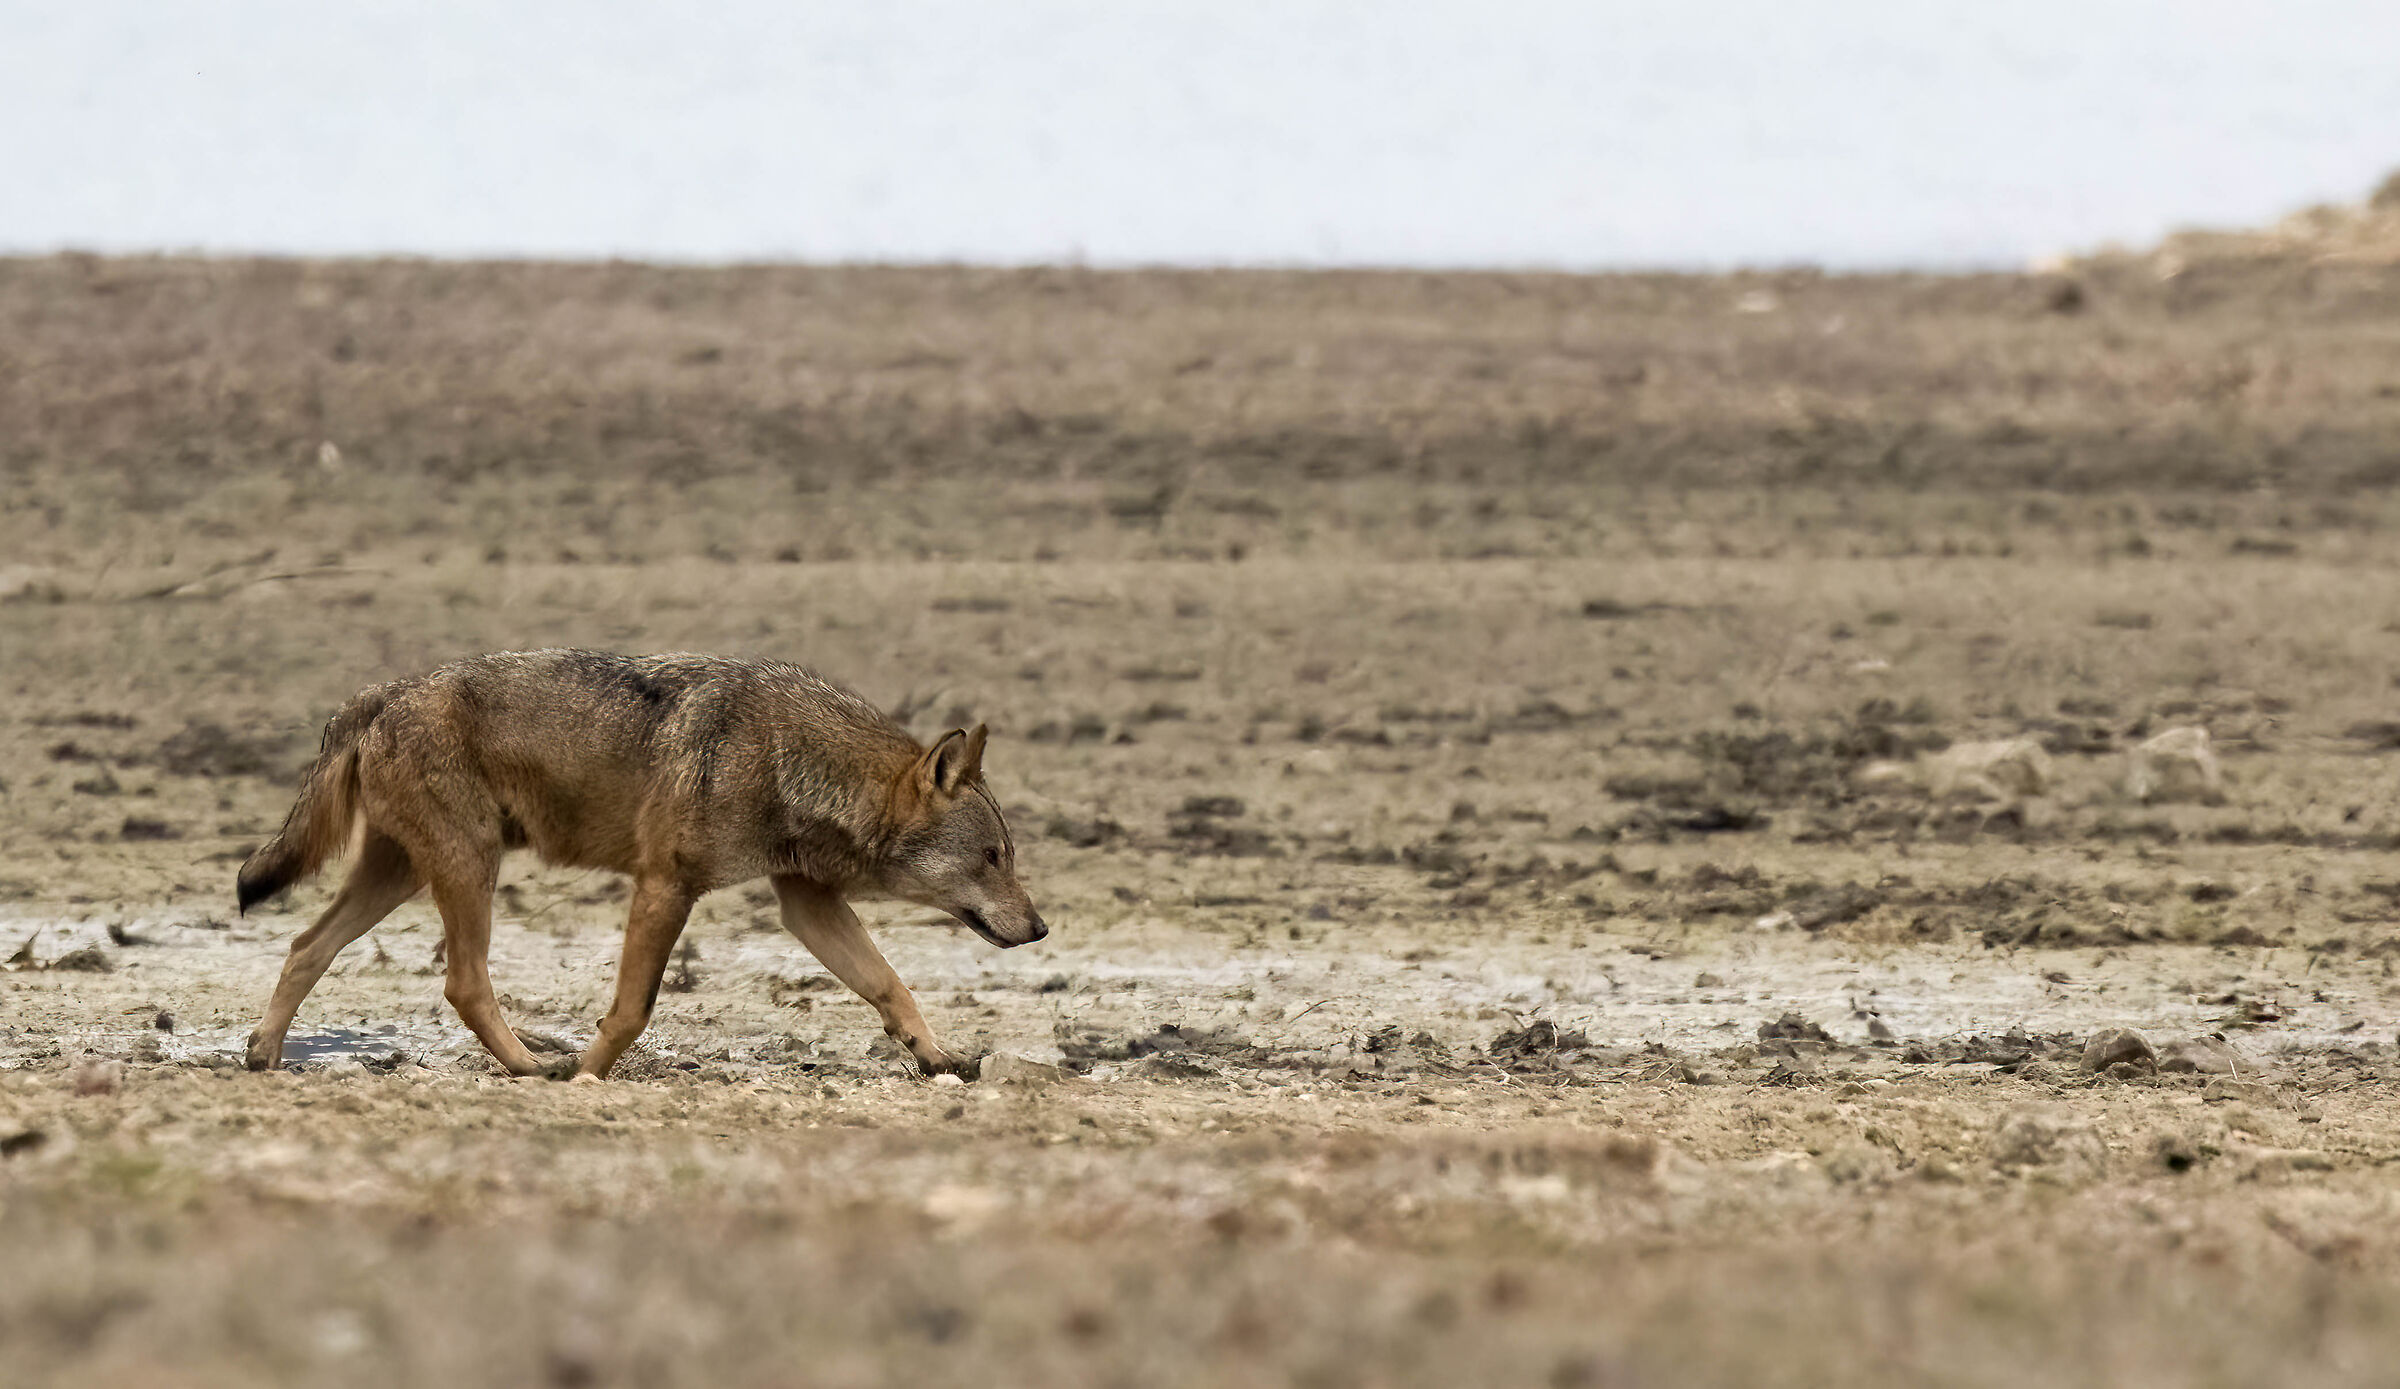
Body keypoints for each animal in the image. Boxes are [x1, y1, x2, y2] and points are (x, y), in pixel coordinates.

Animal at [235, 650, 1045, 1081]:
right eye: (992, 857)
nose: (1040, 928)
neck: (787, 756)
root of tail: (383, 691)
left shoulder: (803, 901)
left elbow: (890, 985)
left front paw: (937, 1056)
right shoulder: (665, 886)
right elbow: (631, 1010)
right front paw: (590, 1075)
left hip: (404, 873)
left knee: (304, 946)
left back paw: (264, 1054)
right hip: (468, 867)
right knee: (463, 983)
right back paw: (532, 1067)